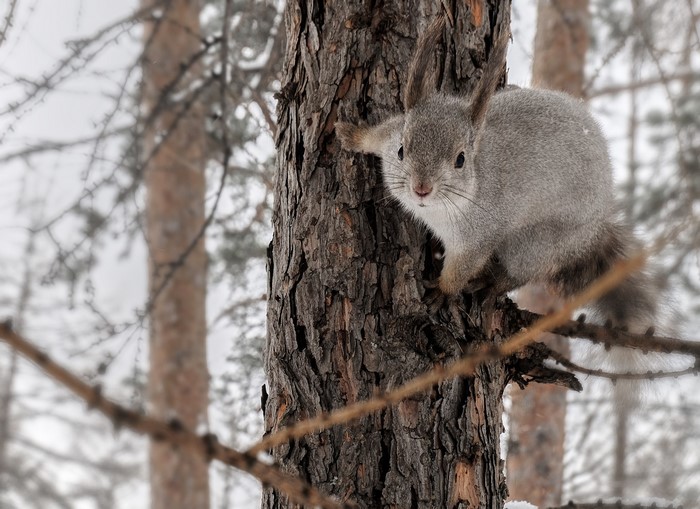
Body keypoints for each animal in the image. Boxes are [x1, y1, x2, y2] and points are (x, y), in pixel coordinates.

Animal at [335, 16, 659, 338]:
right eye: (402, 150)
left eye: (460, 160)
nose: (421, 189)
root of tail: (596, 229)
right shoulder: (391, 133)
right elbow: (377, 135)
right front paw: (351, 134)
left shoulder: (478, 235)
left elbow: (462, 269)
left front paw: (443, 291)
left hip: (535, 244)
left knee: (522, 272)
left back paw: (492, 283)